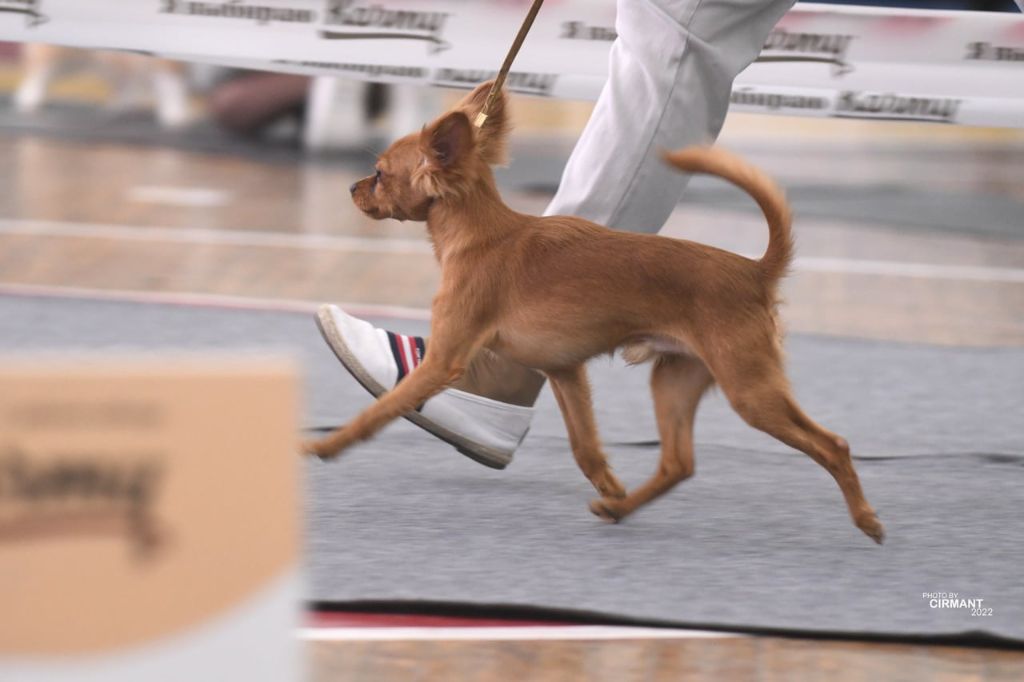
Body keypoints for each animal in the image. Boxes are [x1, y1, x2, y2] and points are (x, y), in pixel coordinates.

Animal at [304, 81, 884, 544]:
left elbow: (380, 410)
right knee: (678, 463)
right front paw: (609, 483)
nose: (352, 186)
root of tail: (754, 270)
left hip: (751, 390)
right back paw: (619, 508)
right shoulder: (565, 371)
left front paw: (326, 445)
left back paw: (866, 518)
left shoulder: (445, 360)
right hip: (676, 379)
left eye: (379, 174)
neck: (481, 236)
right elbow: (585, 446)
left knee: (832, 444)